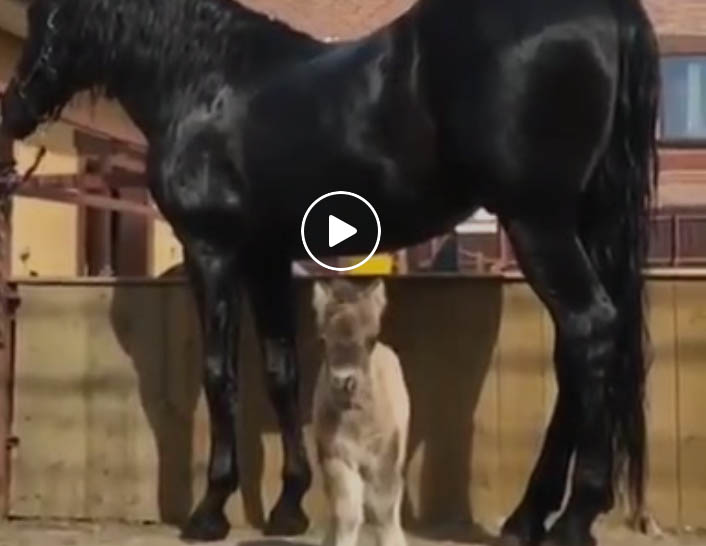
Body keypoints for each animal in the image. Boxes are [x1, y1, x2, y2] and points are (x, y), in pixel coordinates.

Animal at [1, 0, 660, 540]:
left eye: (45, 15)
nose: (12, 111)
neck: (205, 81)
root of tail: (610, 13)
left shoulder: (212, 250)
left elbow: (219, 374)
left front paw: (211, 510)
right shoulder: (266, 256)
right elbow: (280, 371)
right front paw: (289, 507)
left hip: (536, 221)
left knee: (590, 329)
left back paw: (574, 517)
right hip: (581, 222)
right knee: (580, 348)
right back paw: (530, 516)